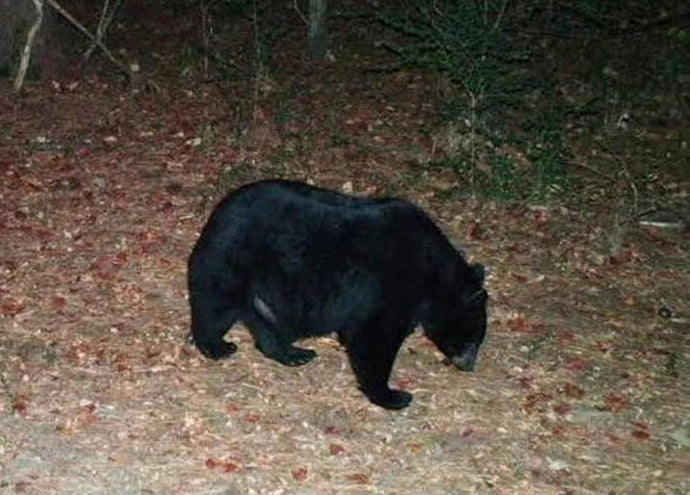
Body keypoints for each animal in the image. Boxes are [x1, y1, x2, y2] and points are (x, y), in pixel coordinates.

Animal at [188, 179, 488, 410]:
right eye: (474, 340)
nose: (469, 366)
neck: (434, 276)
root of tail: (216, 214)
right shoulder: (387, 288)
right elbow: (374, 336)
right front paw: (392, 395)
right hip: (232, 262)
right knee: (215, 308)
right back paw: (217, 346)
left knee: (265, 324)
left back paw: (294, 353)